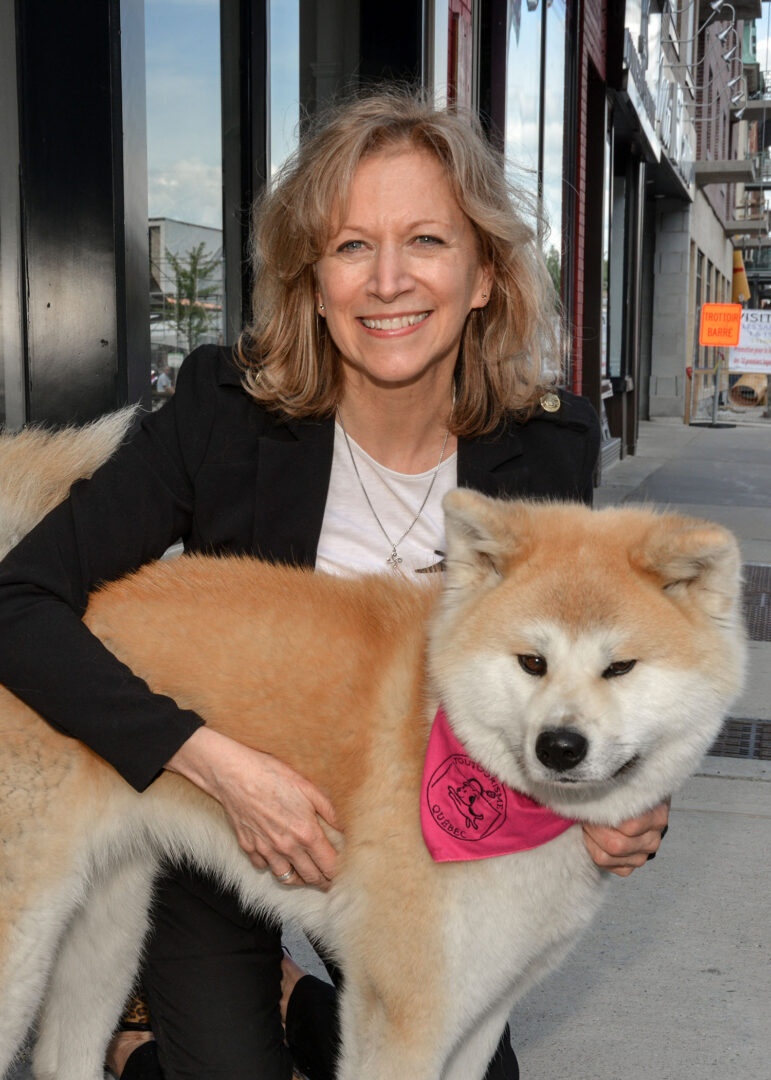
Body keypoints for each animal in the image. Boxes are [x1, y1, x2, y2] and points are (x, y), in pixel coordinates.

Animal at [0, 414, 742, 1080]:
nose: (560, 746)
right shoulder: (408, 1011)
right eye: (532, 662)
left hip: (107, 925)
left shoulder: (481, 1009)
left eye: (620, 668)